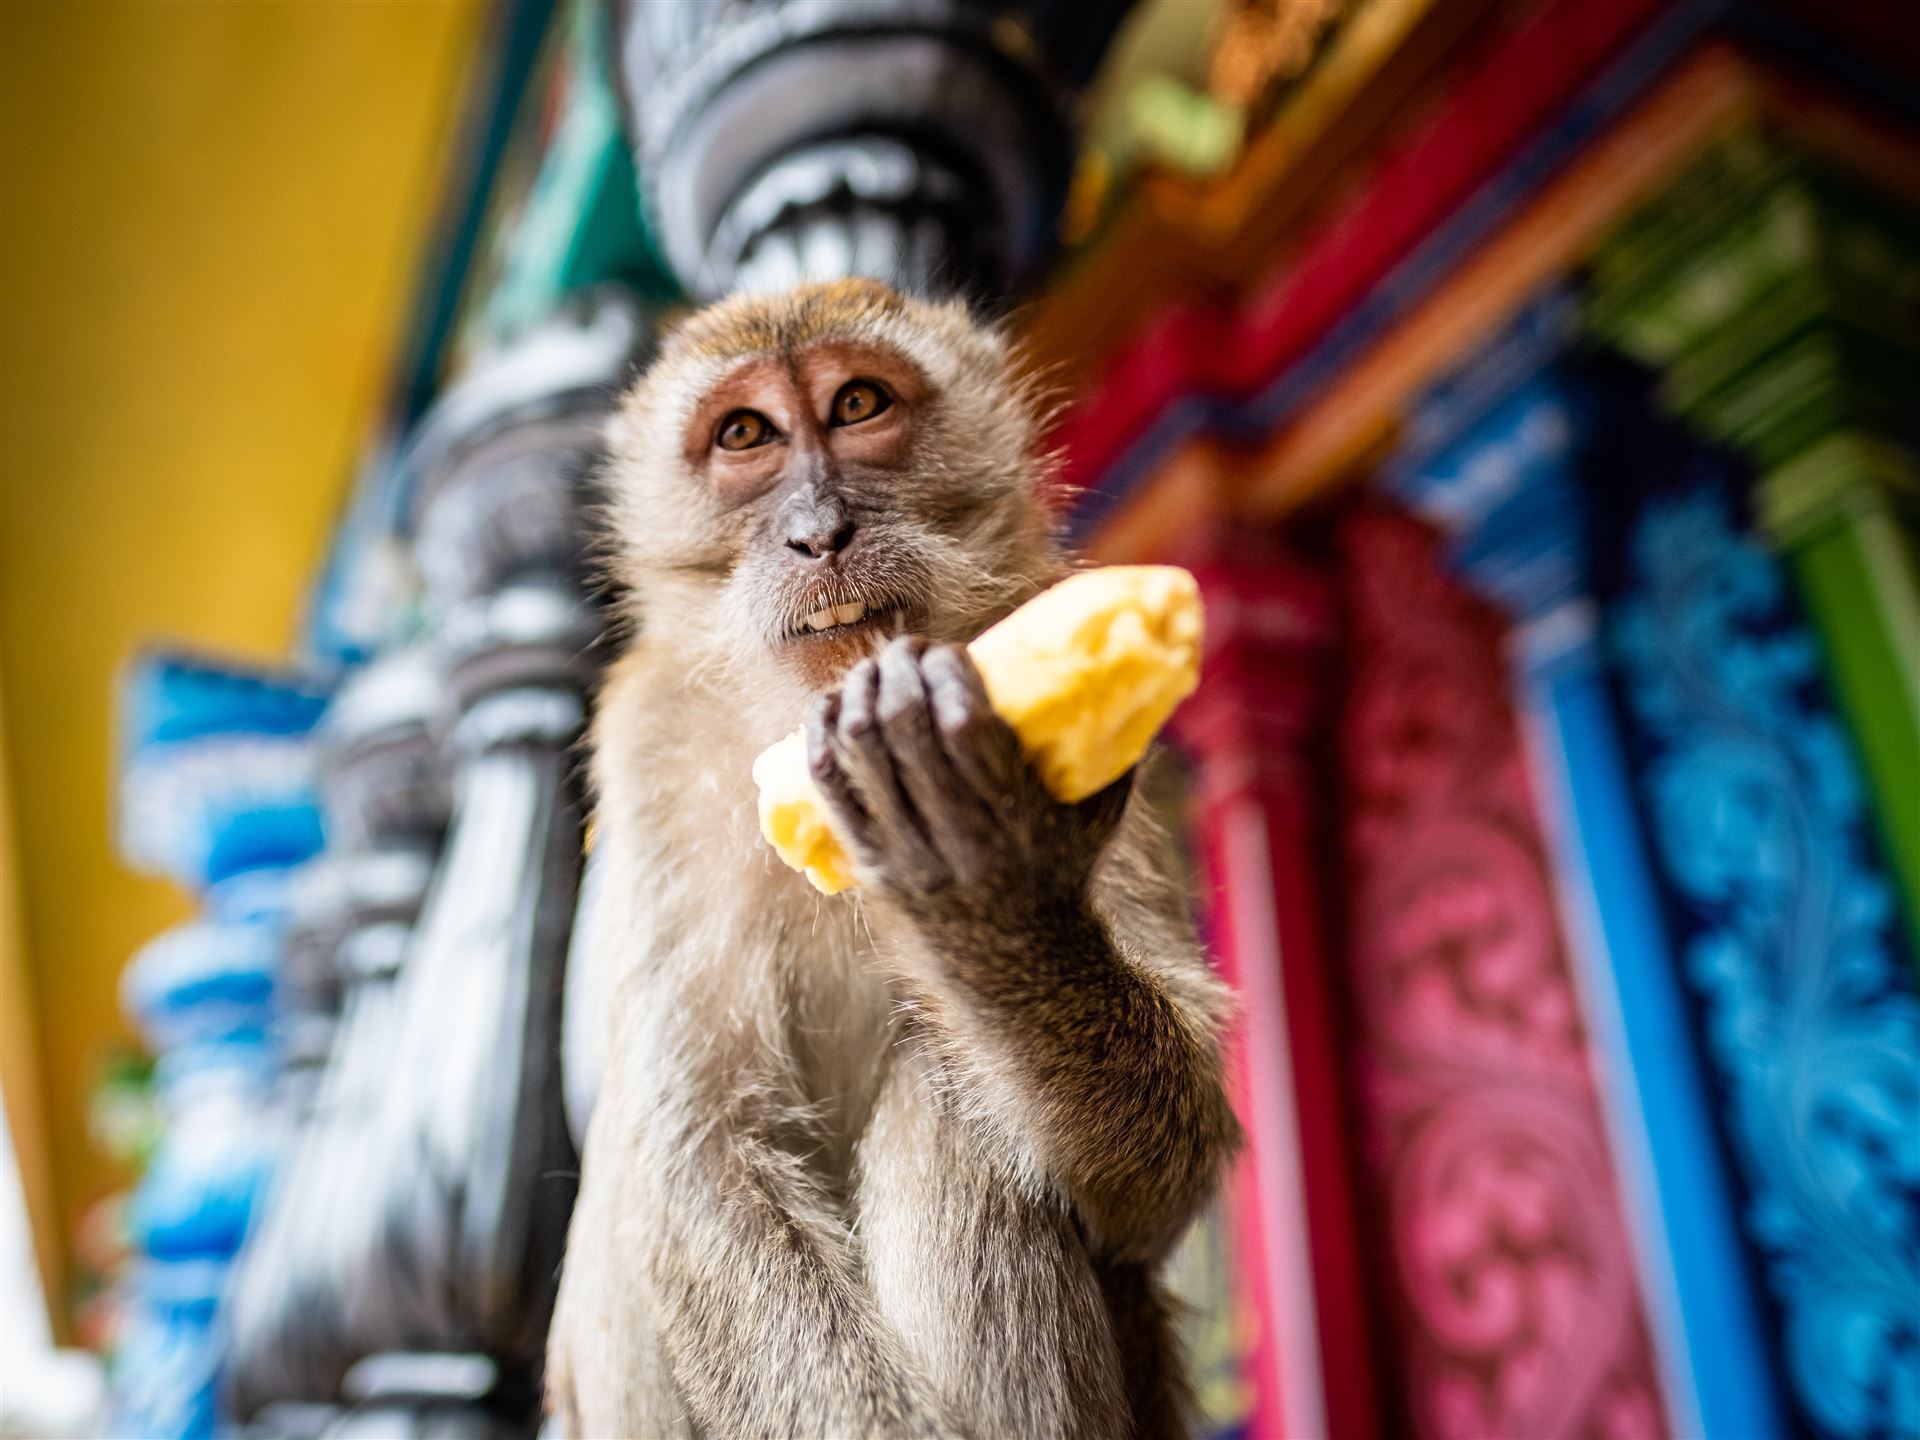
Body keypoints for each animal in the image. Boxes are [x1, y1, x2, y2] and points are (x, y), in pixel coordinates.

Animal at [547, 279, 1240, 1440]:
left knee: (953, 1105)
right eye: (746, 434)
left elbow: (1159, 1173)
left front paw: (996, 893)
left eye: (858, 404)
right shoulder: (650, 744)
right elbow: (704, 1147)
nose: (819, 532)